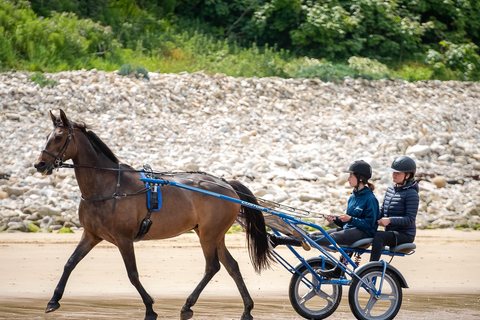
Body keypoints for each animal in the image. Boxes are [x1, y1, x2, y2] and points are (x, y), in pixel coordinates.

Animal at [33, 110, 274, 320]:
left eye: (59, 137)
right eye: (46, 137)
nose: (39, 164)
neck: (109, 186)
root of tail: (226, 184)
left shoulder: (124, 239)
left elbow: (132, 274)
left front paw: (149, 308)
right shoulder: (91, 235)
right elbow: (70, 263)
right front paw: (53, 300)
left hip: (209, 235)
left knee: (212, 267)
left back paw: (188, 306)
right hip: (212, 235)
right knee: (231, 266)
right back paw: (247, 309)